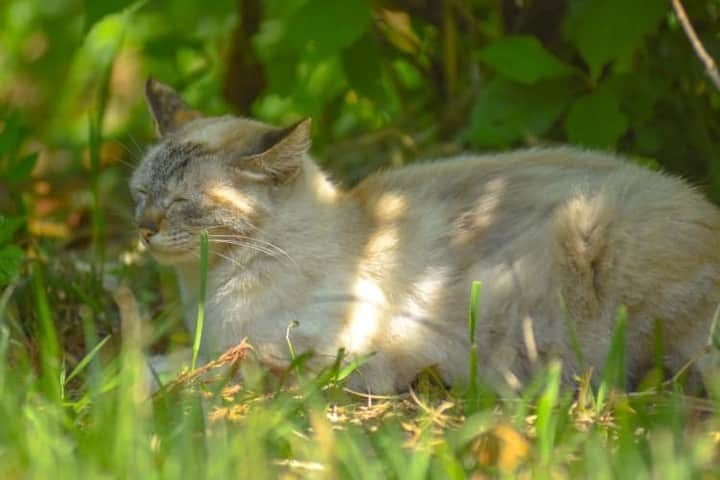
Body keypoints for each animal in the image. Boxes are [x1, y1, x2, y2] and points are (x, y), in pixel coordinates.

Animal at [132, 78, 720, 394]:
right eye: (140, 193)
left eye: (183, 203)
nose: (144, 229)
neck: (205, 293)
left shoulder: (314, 353)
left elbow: (197, 365)